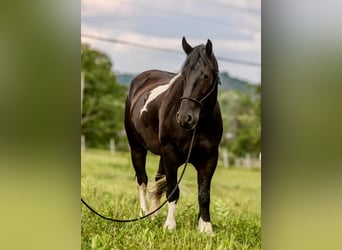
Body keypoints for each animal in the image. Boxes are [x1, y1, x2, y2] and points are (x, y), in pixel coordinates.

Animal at [124, 37, 223, 234]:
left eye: (206, 76)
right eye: (183, 76)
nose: (185, 118)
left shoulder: (210, 158)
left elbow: (204, 194)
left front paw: (205, 228)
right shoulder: (171, 154)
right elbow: (172, 190)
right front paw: (170, 225)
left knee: (156, 180)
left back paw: (153, 216)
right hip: (137, 148)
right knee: (142, 180)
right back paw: (143, 214)